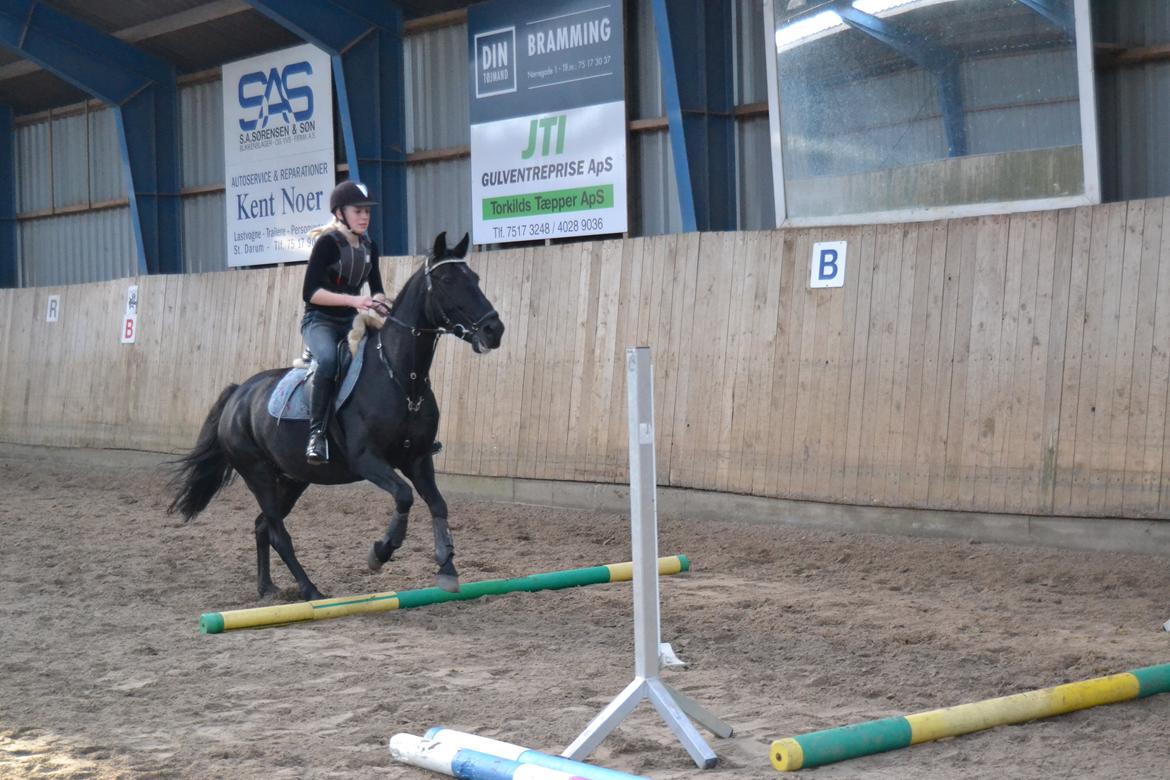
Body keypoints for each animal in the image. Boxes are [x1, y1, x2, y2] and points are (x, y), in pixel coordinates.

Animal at [168, 231, 503, 598]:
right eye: (446, 280)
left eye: (475, 278)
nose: (494, 330)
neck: (400, 377)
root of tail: (239, 393)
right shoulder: (367, 459)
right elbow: (404, 496)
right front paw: (380, 551)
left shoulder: (417, 459)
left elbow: (438, 504)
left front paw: (447, 567)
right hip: (258, 474)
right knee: (277, 532)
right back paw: (310, 590)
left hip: (292, 478)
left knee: (262, 526)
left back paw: (267, 587)